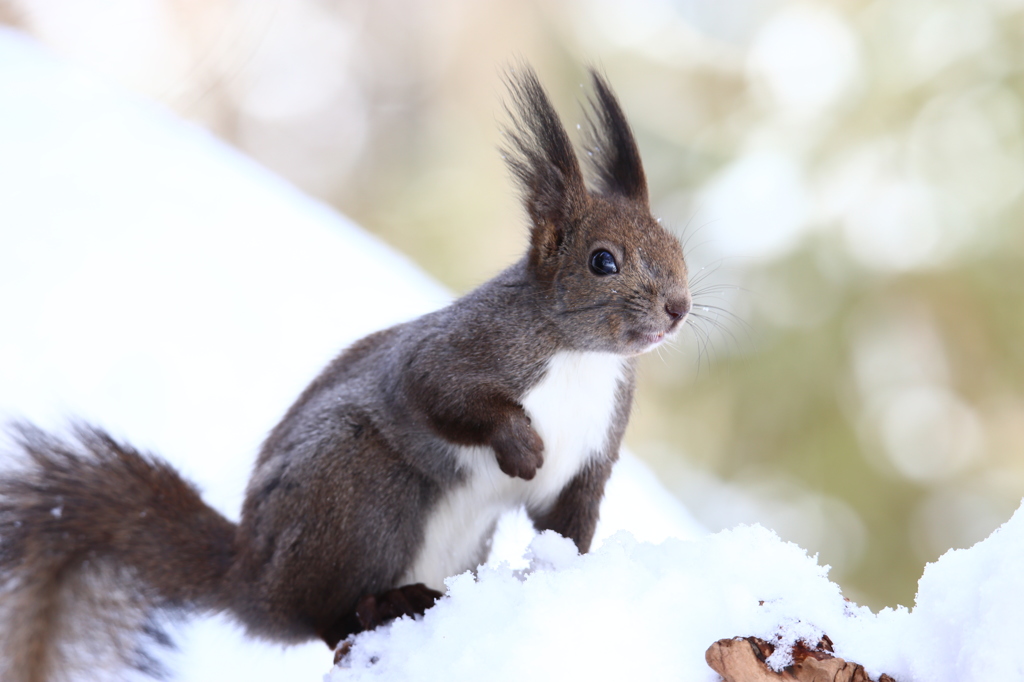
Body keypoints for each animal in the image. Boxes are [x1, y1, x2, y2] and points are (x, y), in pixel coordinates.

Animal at [0, 62, 692, 675]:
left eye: (677, 247)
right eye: (603, 261)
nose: (679, 308)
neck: (582, 357)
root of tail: (253, 581)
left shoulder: (591, 456)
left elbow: (567, 525)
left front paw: (568, 577)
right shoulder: (461, 347)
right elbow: (436, 391)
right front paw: (519, 446)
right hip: (358, 488)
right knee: (323, 616)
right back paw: (383, 607)